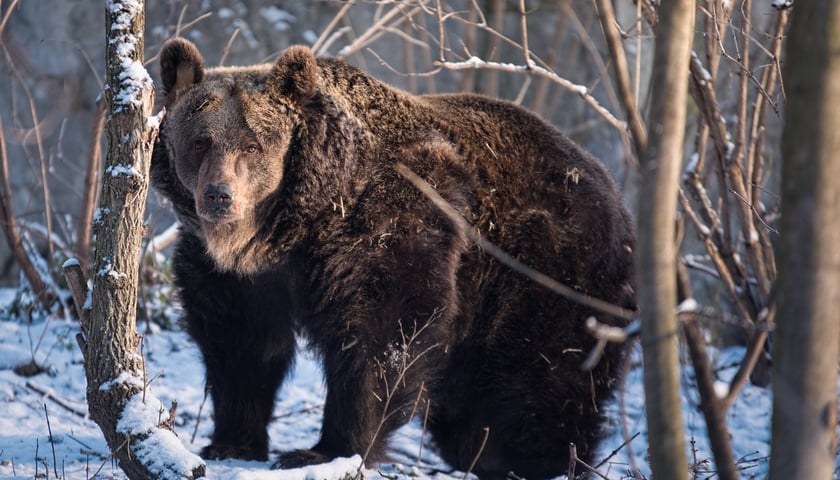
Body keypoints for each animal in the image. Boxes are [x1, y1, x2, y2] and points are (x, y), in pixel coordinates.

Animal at [153, 38, 636, 480]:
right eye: (200, 142)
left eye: (252, 145)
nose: (219, 196)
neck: (288, 229)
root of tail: (614, 191)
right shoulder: (237, 275)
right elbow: (241, 344)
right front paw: (231, 440)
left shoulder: (389, 224)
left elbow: (385, 333)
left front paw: (327, 449)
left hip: (550, 269)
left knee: (544, 372)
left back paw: (536, 457)